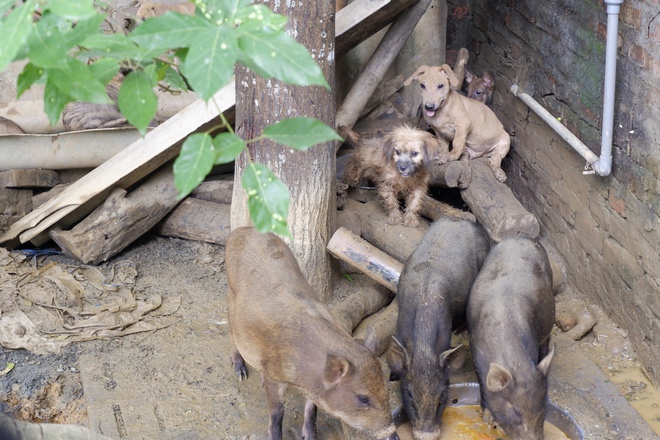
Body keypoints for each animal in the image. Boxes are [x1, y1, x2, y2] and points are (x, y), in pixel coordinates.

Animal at [227, 227, 398, 440]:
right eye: (363, 398)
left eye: (386, 388)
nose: (394, 434)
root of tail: (243, 230)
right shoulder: (274, 373)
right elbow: (277, 411)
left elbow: (311, 409)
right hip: (230, 294)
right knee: (231, 330)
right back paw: (241, 374)